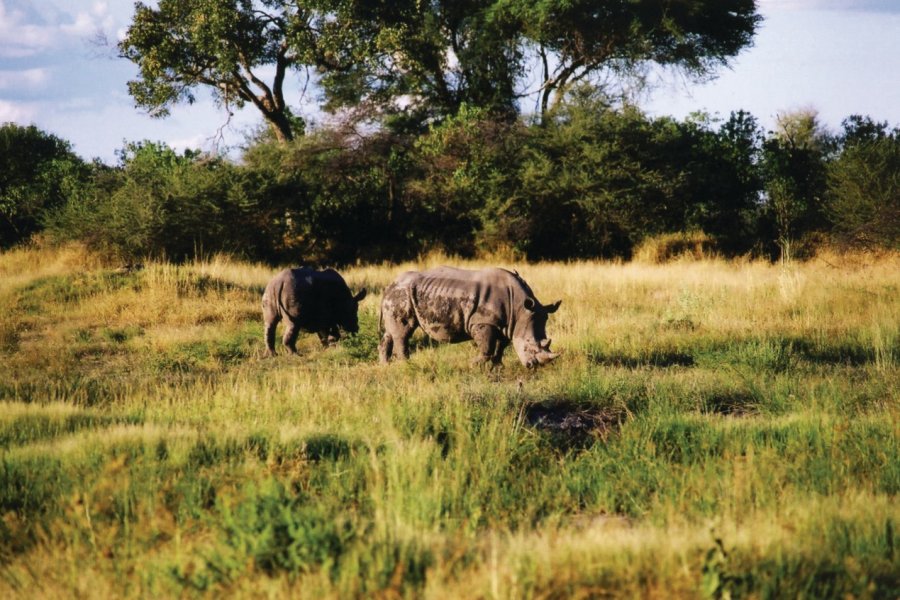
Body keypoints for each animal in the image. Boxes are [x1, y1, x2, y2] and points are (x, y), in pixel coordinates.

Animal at [380, 268, 564, 370]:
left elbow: (501, 346)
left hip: (397, 296)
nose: (533, 366)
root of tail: (390, 285)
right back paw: (406, 365)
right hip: (402, 295)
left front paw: (498, 366)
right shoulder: (483, 321)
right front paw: (474, 364)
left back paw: (385, 365)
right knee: (404, 332)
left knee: (390, 333)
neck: (519, 308)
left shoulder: (507, 324)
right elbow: (487, 347)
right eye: (528, 346)